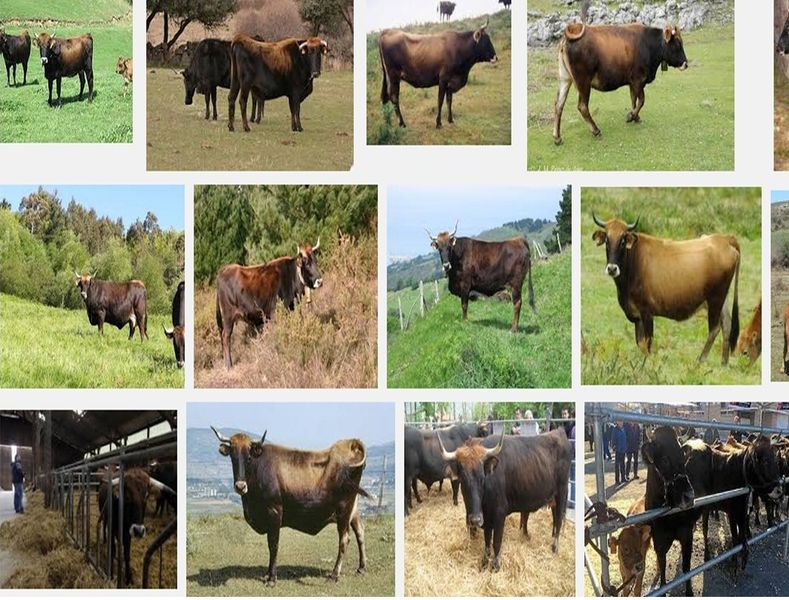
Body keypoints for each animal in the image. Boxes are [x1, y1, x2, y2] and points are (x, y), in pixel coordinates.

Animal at [211, 426, 370, 585]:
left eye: (249, 457)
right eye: (232, 457)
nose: (240, 486)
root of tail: (350, 443)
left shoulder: (274, 511)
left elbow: (273, 544)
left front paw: (272, 578)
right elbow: (270, 544)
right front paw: (267, 575)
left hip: (344, 509)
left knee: (344, 539)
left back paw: (334, 575)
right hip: (352, 509)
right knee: (360, 532)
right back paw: (361, 568)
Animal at [437, 428, 571, 572]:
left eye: (482, 478)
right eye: (463, 479)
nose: (475, 520)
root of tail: (558, 431)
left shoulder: (499, 514)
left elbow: (496, 541)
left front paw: (495, 566)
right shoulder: (487, 518)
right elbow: (487, 541)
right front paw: (484, 562)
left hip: (562, 492)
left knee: (559, 519)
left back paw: (555, 547)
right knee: (555, 518)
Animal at [552, 23, 688, 145]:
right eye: (677, 44)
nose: (685, 64)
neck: (648, 45)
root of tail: (572, 31)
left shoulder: (632, 83)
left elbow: (634, 100)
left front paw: (635, 117)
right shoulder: (638, 80)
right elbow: (642, 100)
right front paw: (631, 116)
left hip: (565, 79)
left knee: (559, 105)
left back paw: (557, 137)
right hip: (583, 82)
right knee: (582, 106)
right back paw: (595, 130)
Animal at [591, 214, 741, 364]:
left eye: (622, 240)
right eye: (607, 240)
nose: (612, 268)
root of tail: (725, 238)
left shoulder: (647, 312)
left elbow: (648, 343)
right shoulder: (637, 316)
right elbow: (640, 343)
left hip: (715, 298)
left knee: (714, 329)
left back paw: (701, 360)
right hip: (723, 298)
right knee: (727, 325)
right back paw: (724, 363)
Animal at [641, 426, 697, 596]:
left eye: (683, 457)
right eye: (665, 460)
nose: (689, 496)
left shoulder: (687, 536)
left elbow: (686, 567)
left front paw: (689, 591)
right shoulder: (658, 541)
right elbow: (663, 568)